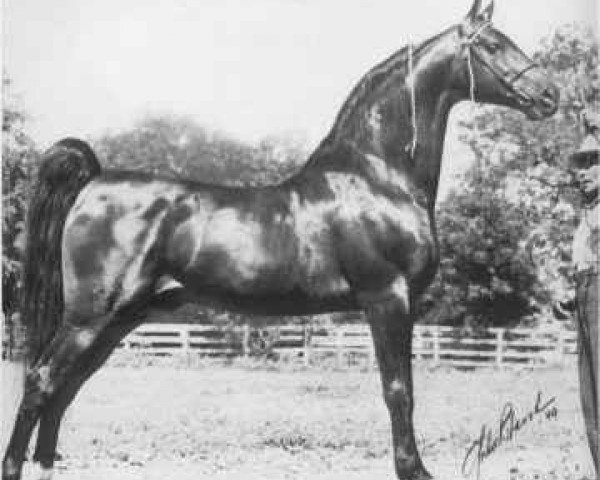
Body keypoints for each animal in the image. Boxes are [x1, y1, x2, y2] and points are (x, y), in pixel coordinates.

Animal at [2, 1, 560, 478]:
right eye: (492, 45)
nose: (551, 95)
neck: (378, 177)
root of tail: (94, 180)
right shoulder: (387, 298)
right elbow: (399, 390)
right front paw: (413, 470)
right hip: (91, 315)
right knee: (42, 381)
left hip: (119, 319)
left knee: (64, 390)